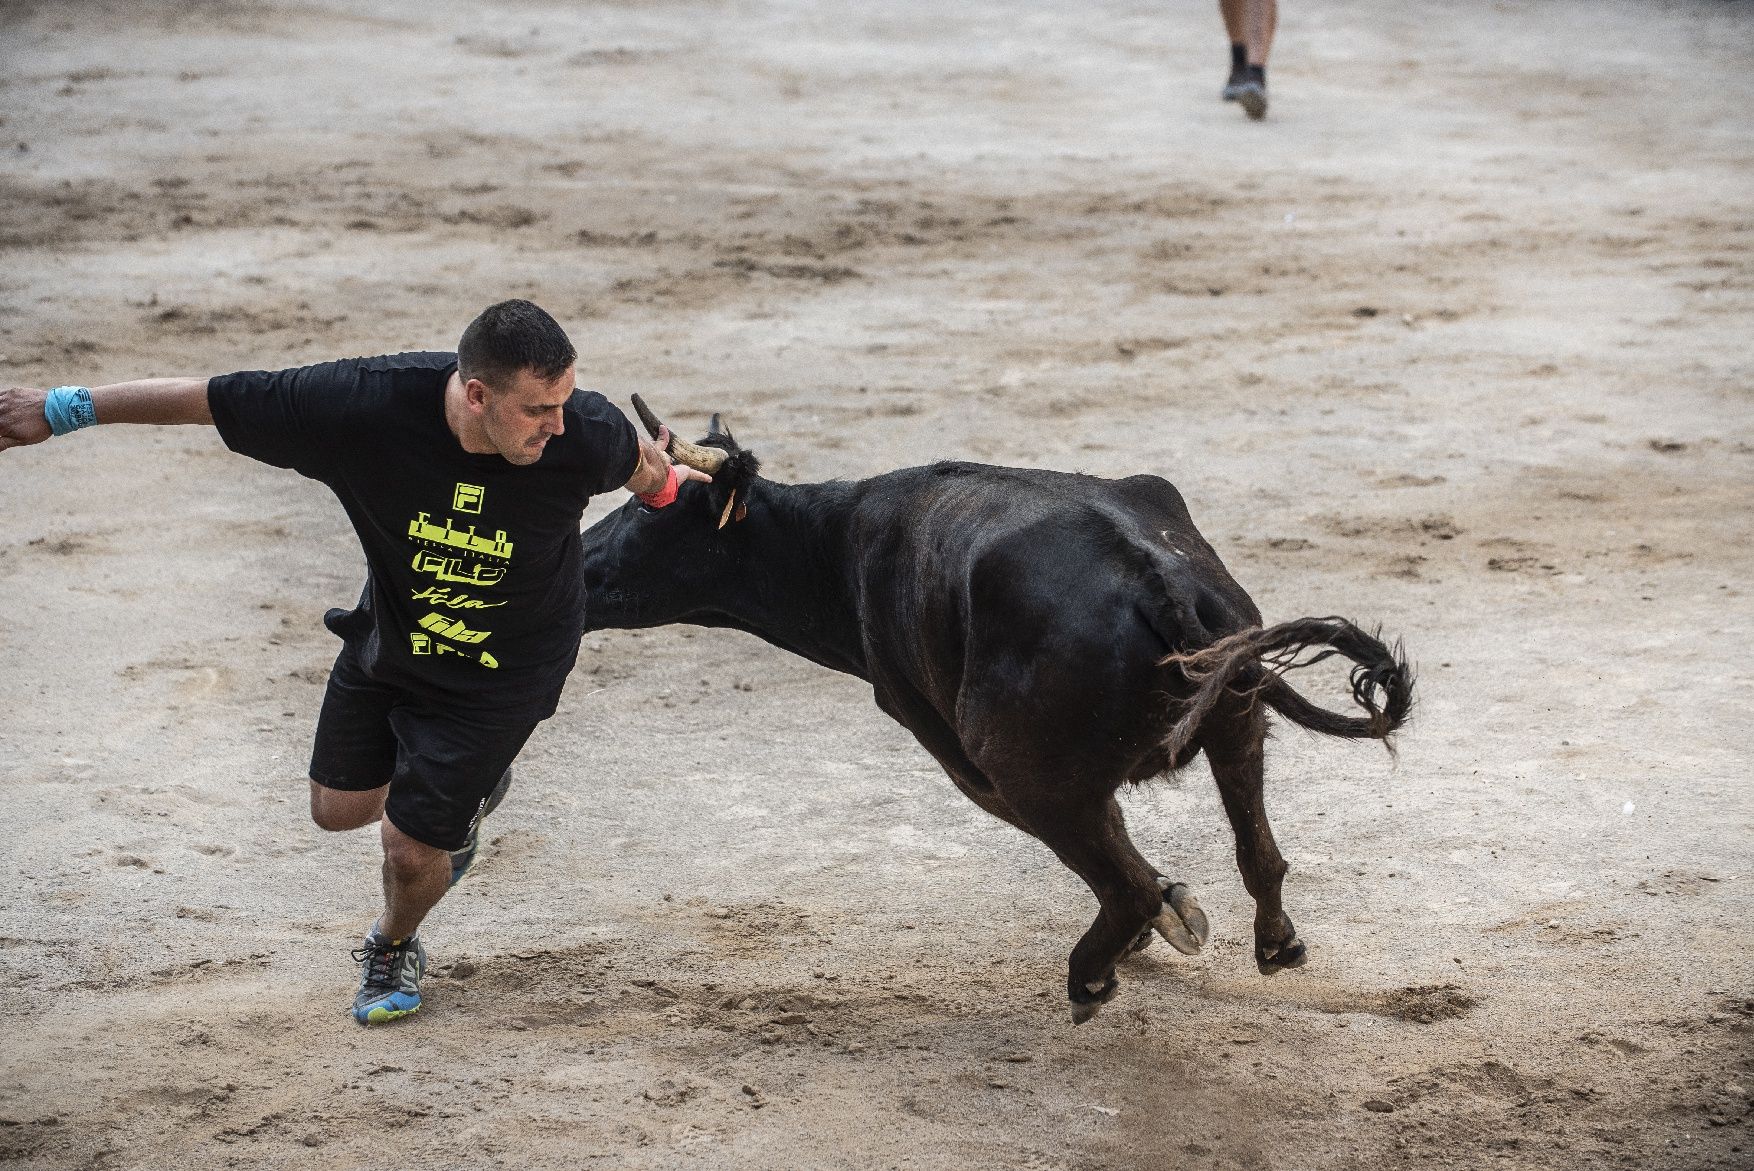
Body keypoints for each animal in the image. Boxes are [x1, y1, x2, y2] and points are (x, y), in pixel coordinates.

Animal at [578, 404, 1410, 1023]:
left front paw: (1162, 919)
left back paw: (1089, 976)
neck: (837, 544)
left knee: (1122, 882)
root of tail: (1158, 578)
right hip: (1235, 725)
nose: (577, 563)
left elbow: (1119, 860)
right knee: (1257, 851)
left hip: (1024, 768)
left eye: (650, 506)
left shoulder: (962, 758)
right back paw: (1276, 944)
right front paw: (1173, 916)